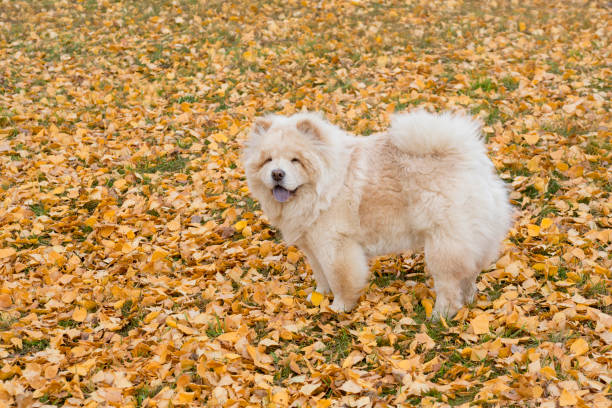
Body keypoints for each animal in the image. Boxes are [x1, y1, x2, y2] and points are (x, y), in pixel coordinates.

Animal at [241, 111, 512, 318]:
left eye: (295, 161)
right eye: (268, 160)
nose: (277, 173)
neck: (325, 186)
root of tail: (471, 160)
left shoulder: (335, 244)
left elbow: (340, 278)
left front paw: (339, 307)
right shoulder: (313, 245)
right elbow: (321, 275)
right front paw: (319, 296)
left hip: (443, 242)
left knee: (449, 282)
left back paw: (441, 314)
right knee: (469, 273)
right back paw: (469, 299)